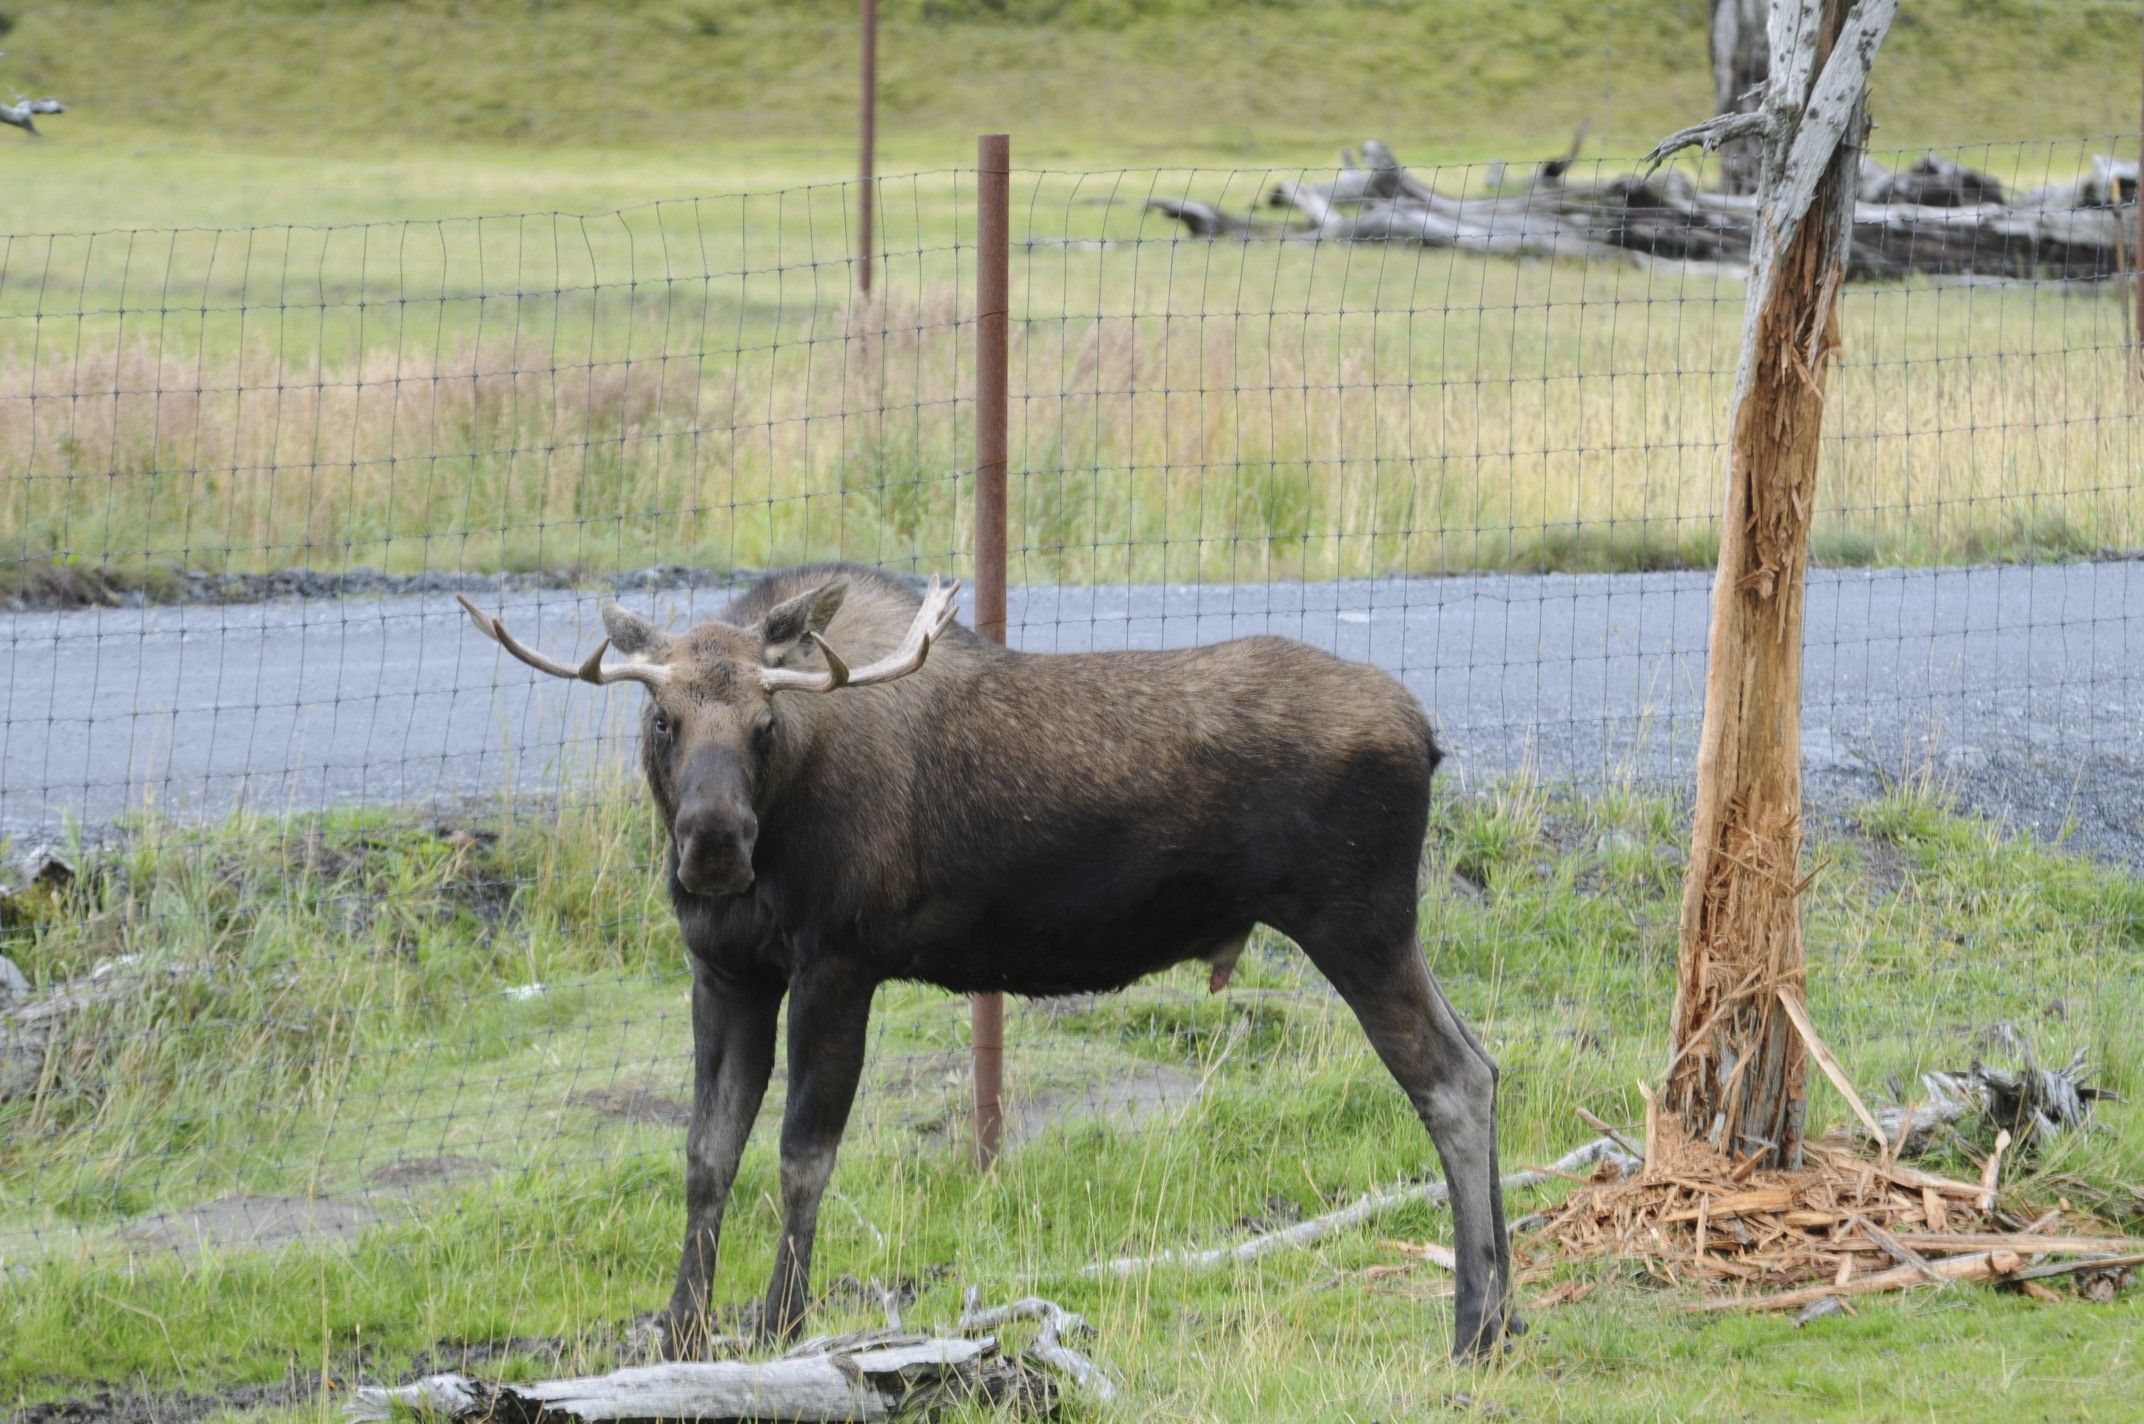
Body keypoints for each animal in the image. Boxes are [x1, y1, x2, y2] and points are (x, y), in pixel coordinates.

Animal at [460, 566, 1517, 1355]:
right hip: (1384, 930)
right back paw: (1505, 1312)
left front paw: (779, 1324)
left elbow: (803, 1154)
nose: (715, 845)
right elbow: (704, 1155)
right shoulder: (725, 972)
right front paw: (682, 1330)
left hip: (1357, 923)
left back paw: (1473, 1324)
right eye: (662, 721)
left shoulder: (838, 962)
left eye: (764, 723)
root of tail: (1429, 738)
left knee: (1451, 1080)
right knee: (1484, 1060)